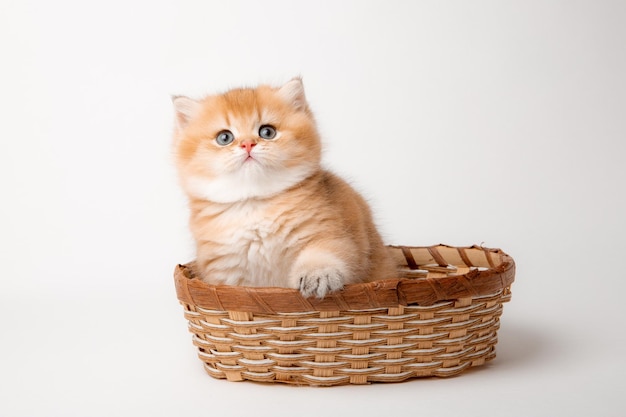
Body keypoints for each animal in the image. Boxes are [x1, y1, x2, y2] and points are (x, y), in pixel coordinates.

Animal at [171, 75, 394, 296]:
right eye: (224, 137)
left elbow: (325, 253)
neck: (253, 205)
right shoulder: (225, 271)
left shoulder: (329, 232)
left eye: (267, 132)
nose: (248, 144)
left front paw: (318, 275)